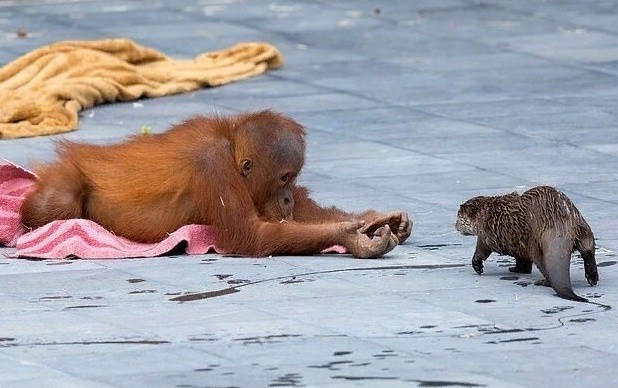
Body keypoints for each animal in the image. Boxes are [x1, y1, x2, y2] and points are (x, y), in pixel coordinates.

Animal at [454, 186, 596, 304]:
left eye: (458, 217)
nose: (455, 226)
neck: (484, 213)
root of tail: (559, 223)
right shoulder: (518, 244)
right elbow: (522, 261)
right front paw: (516, 269)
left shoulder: (486, 235)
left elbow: (481, 251)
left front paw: (478, 267)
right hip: (582, 226)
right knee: (588, 249)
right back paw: (592, 278)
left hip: (534, 244)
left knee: (544, 265)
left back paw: (543, 282)